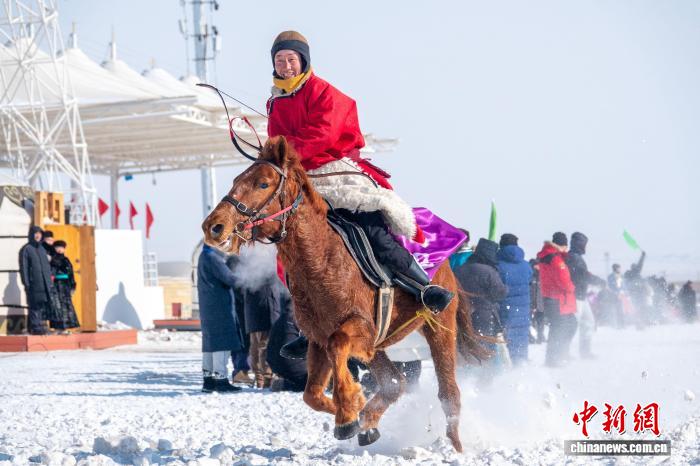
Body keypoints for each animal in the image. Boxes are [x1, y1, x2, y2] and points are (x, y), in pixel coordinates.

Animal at [202, 136, 487, 452]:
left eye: (263, 183)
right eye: (236, 180)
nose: (214, 226)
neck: (322, 260)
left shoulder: (358, 326)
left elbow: (338, 346)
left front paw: (348, 413)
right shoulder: (318, 339)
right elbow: (312, 394)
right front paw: (352, 411)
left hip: (439, 327)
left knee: (448, 392)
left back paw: (455, 447)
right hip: (378, 347)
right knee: (395, 382)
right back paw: (369, 423)